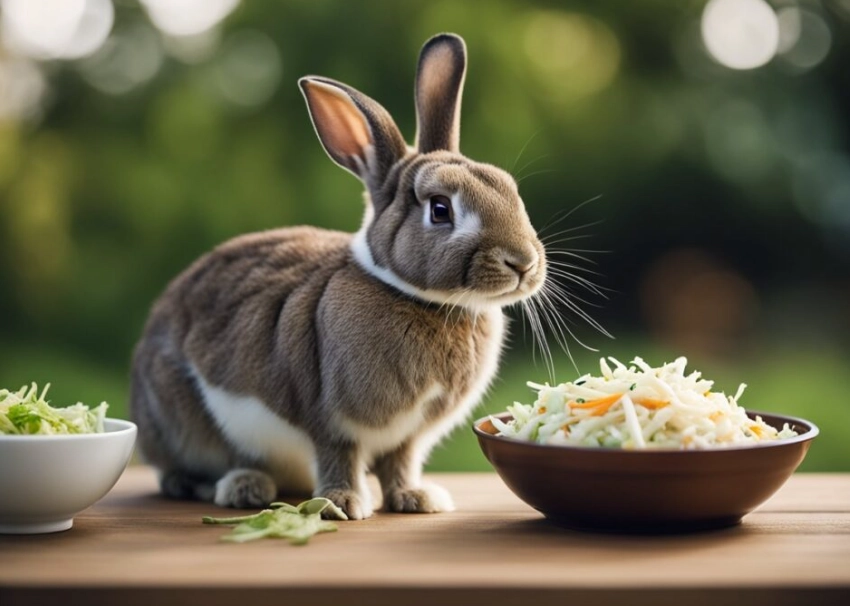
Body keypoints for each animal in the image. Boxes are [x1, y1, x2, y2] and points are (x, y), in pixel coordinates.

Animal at [129, 33, 547, 520]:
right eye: (440, 209)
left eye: (509, 190)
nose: (523, 263)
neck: (414, 295)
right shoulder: (330, 419)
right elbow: (338, 456)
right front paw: (343, 505)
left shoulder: (408, 435)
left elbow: (400, 463)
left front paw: (418, 499)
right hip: (180, 420)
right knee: (186, 470)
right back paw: (242, 488)